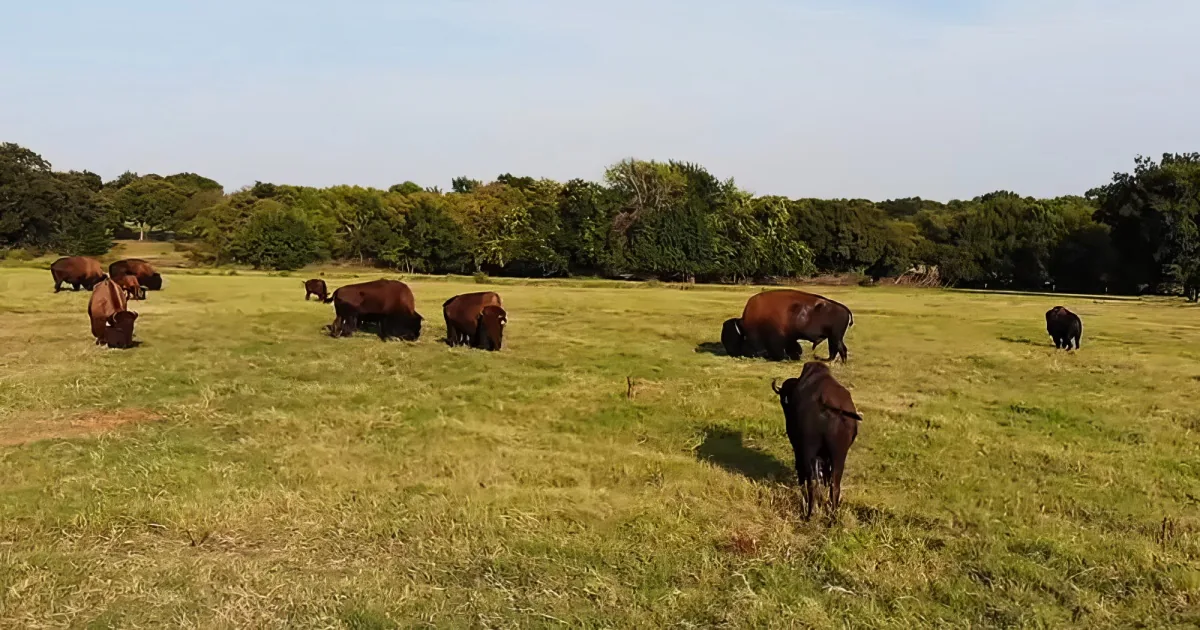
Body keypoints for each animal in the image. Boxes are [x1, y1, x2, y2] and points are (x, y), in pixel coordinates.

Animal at [725, 290, 854, 362]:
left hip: (836, 337)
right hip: (833, 338)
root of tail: (845, 309)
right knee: (835, 350)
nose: (731, 352)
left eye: (736, 339)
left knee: (840, 349)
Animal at [772, 362, 862, 519]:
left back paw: (808, 514)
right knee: (834, 485)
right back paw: (832, 517)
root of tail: (827, 404)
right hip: (839, 456)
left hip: (809, 452)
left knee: (811, 483)